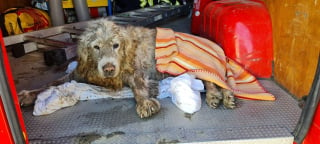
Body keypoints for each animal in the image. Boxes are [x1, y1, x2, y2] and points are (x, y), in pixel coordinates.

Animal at [19, 19, 235, 118]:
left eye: (116, 45)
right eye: (96, 47)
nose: (108, 68)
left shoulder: (134, 71)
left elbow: (138, 85)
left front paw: (145, 102)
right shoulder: (79, 72)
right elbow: (52, 83)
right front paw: (28, 95)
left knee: (214, 80)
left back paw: (219, 96)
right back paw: (220, 96)